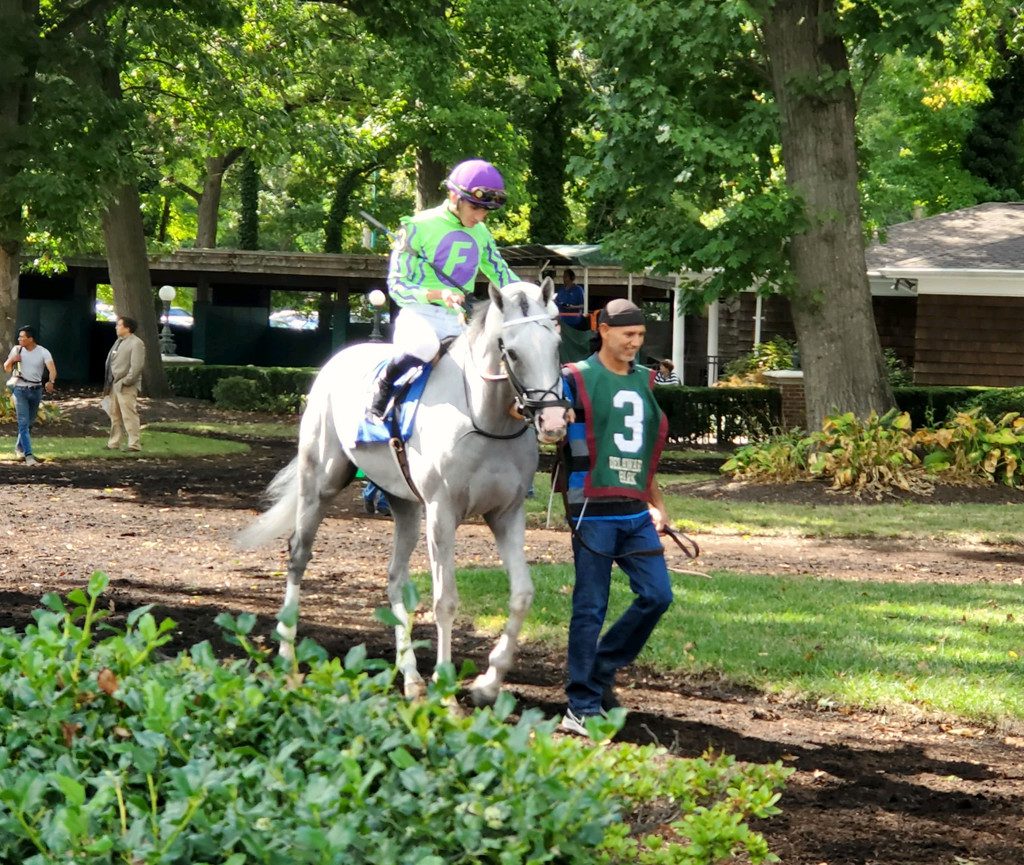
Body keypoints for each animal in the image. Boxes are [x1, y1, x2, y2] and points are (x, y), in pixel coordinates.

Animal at [243, 280, 573, 704]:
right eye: (512, 351)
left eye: (556, 345)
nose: (553, 420)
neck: (485, 421)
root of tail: (338, 360)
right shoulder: (442, 513)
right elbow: (445, 600)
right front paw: (446, 690)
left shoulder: (506, 514)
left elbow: (522, 595)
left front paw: (487, 682)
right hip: (320, 482)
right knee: (298, 555)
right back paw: (287, 657)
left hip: (404, 505)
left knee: (395, 577)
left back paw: (411, 676)